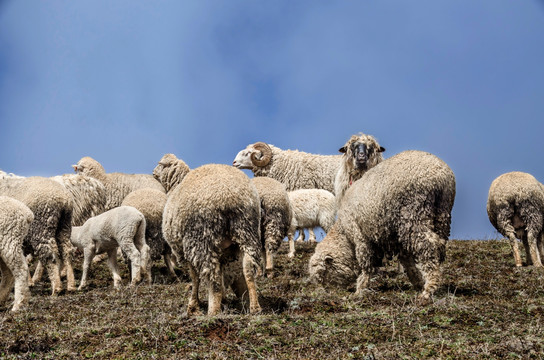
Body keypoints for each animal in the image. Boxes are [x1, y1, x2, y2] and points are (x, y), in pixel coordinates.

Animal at [162, 165, 264, 316]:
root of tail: (229, 197)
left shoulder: (188, 249)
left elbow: (195, 278)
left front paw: (193, 307)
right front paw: (225, 300)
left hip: (202, 237)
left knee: (213, 277)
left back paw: (213, 311)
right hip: (247, 232)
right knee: (248, 269)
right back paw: (254, 307)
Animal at [310, 150, 454, 304]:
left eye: (323, 273)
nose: (326, 294)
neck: (344, 234)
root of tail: (440, 175)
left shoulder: (360, 235)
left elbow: (366, 263)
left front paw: (360, 290)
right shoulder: (395, 239)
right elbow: (407, 261)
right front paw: (417, 282)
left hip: (413, 213)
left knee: (429, 246)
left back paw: (428, 290)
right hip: (442, 213)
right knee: (439, 244)